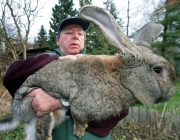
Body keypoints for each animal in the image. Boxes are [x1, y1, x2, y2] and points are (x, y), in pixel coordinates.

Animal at [0, 4, 176, 140]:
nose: (172, 92)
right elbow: (80, 119)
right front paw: (79, 133)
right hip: (36, 105)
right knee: (43, 129)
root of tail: (16, 113)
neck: (120, 78)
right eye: (158, 70)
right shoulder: (81, 108)